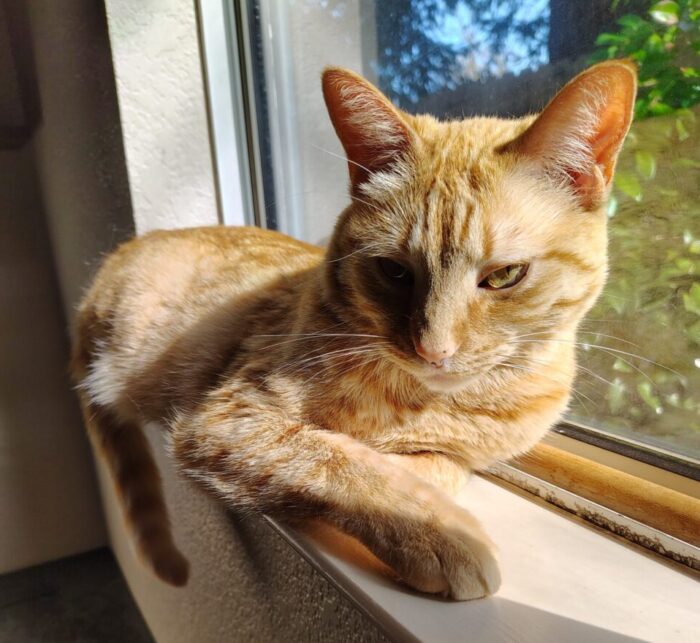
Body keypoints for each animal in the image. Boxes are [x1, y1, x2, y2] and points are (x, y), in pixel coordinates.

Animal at [74, 60, 636, 600]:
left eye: (504, 276)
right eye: (394, 271)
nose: (434, 350)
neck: (440, 405)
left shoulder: (463, 455)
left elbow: (430, 465)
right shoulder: (228, 419)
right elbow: (340, 462)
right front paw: (438, 531)